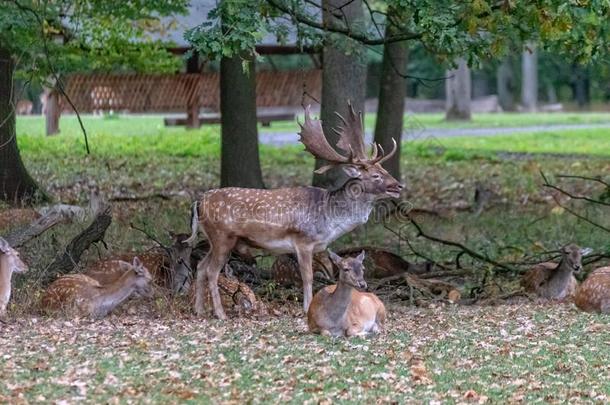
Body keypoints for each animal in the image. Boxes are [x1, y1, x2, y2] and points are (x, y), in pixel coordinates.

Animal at [185, 102, 404, 318]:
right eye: (376, 175)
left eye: (385, 170)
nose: (399, 186)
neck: (329, 220)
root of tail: (199, 202)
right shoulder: (303, 240)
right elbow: (307, 277)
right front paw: (306, 309)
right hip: (222, 236)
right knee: (212, 271)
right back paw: (220, 314)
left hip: (215, 240)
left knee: (201, 266)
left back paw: (199, 310)